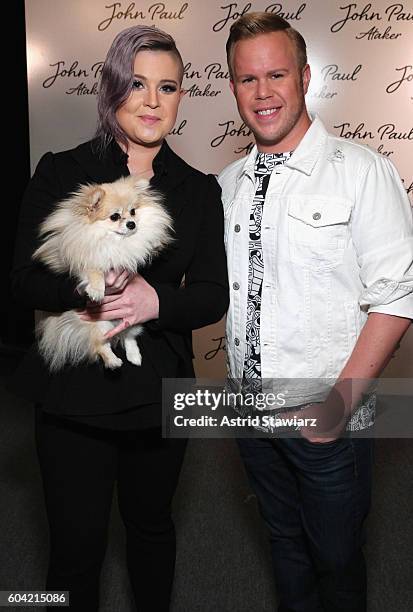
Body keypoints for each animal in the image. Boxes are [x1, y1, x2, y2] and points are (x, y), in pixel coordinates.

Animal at [31, 175, 171, 370]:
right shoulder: (83, 259)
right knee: (100, 345)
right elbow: (94, 271)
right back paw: (113, 361)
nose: (132, 224)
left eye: (133, 211)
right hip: (99, 325)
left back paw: (134, 356)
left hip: (133, 321)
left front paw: (153, 243)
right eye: (115, 216)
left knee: (128, 336)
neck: (110, 240)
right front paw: (97, 291)